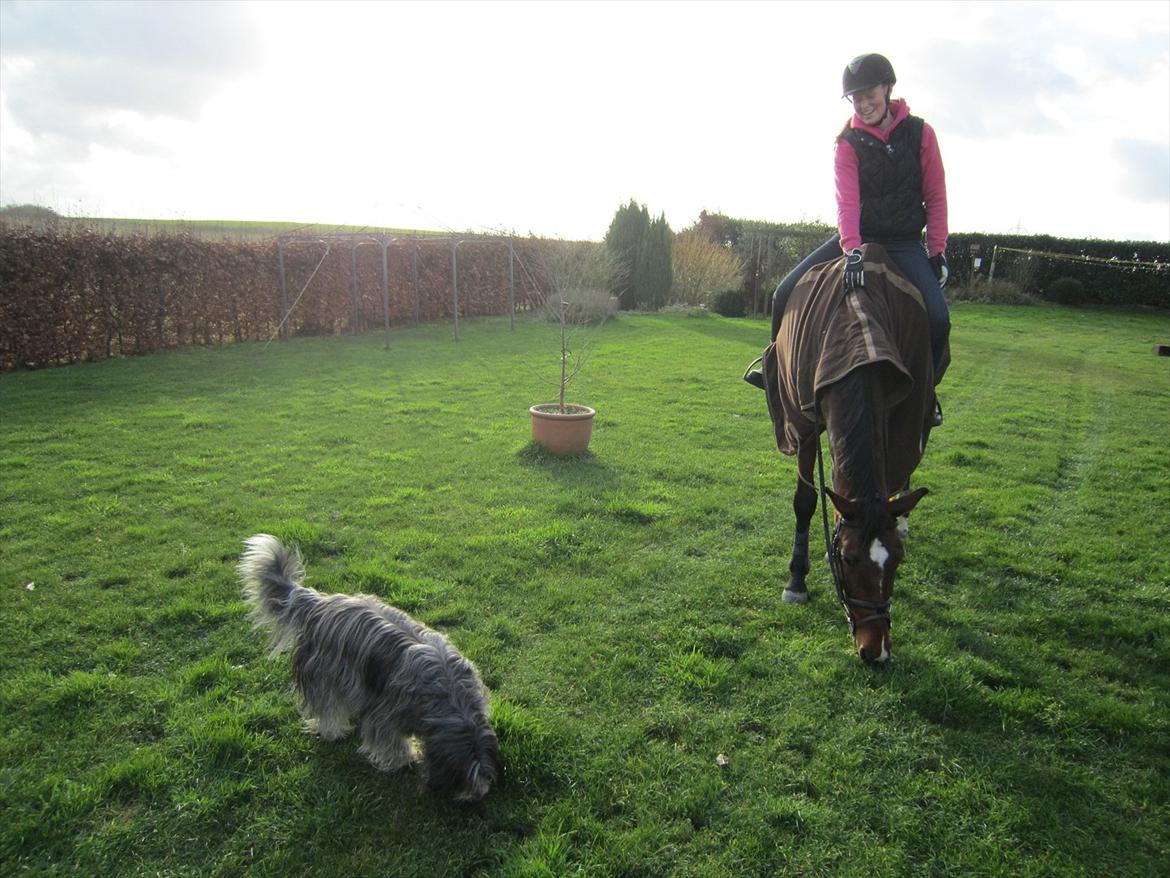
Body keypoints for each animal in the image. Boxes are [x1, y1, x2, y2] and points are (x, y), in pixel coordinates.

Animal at [237, 536, 498, 805]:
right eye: (459, 775)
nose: (477, 795)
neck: (450, 696)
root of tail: (318, 602)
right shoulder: (384, 712)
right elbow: (387, 739)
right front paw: (400, 760)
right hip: (323, 674)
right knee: (325, 706)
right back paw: (333, 731)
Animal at [762, 244, 945, 664]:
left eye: (898, 559)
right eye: (846, 557)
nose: (875, 650)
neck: (856, 333)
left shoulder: (899, 416)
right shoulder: (803, 421)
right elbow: (805, 499)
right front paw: (796, 580)